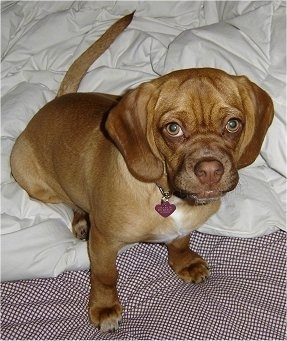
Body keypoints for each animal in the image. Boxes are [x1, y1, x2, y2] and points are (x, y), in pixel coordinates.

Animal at [10, 12, 276, 330]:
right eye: (173, 128)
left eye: (233, 124)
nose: (210, 170)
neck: (167, 197)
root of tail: (54, 101)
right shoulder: (103, 244)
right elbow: (105, 277)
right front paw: (104, 307)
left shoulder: (183, 229)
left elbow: (179, 243)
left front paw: (184, 262)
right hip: (38, 184)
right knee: (69, 201)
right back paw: (80, 219)